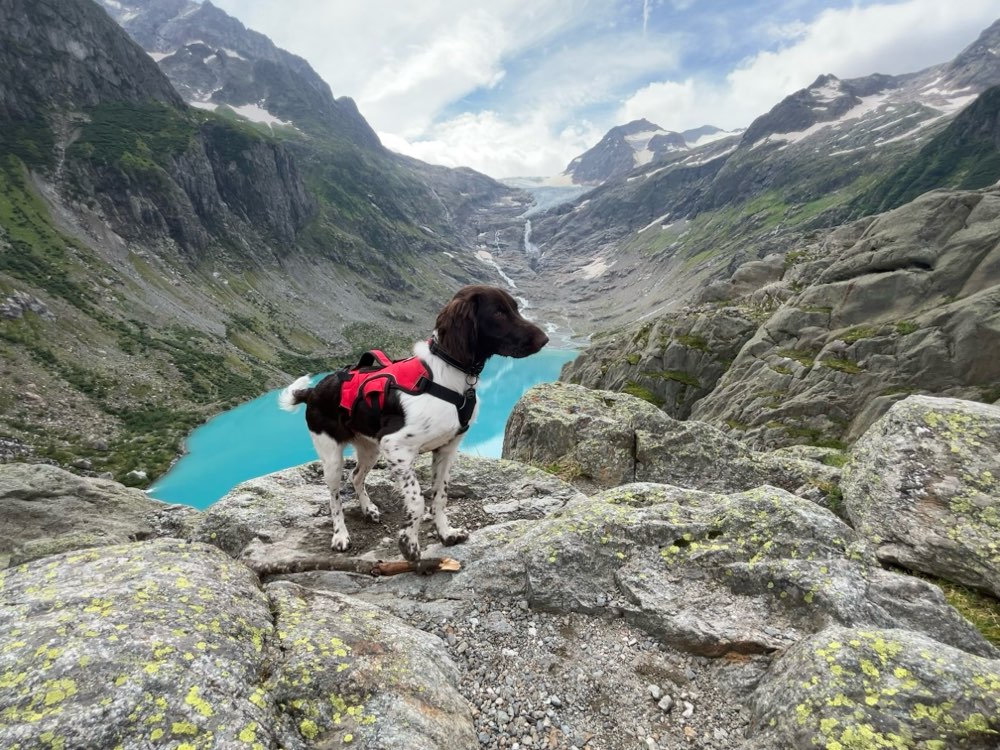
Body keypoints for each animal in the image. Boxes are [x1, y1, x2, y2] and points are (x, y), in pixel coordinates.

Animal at [278, 284, 552, 560]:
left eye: (515, 308)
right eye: (498, 313)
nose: (545, 339)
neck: (447, 376)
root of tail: (313, 390)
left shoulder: (446, 449)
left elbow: (440, 496)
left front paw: (446, 533)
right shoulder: (395, 445)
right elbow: (418, 500)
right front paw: (409, 544)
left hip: (370, 449)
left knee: (355, 476)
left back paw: (369, 509)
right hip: (332, 456)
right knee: (334, 497)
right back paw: (341, 536)